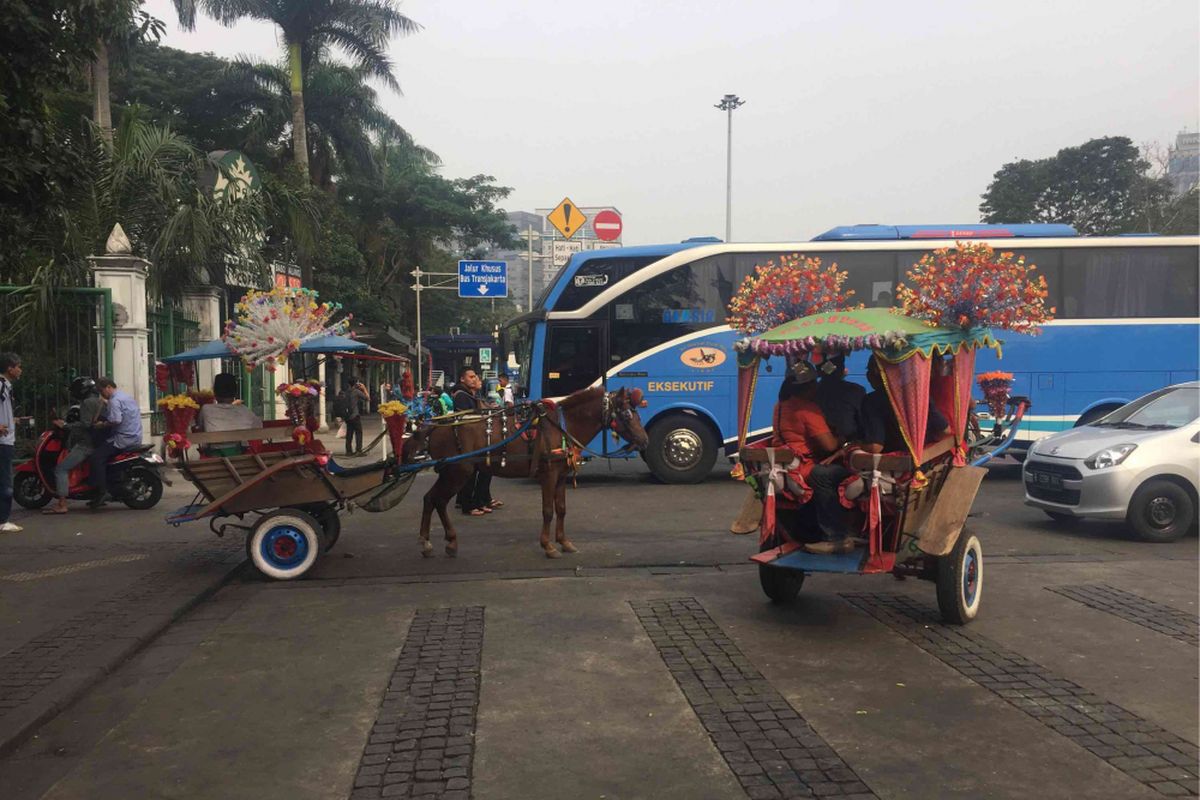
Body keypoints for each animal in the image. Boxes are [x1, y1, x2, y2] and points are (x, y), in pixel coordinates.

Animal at [403, 383, 648, 561]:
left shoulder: (560, 476)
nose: (645, 440)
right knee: (436, 500)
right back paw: (433, 541)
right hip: (457, 472)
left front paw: (564, 542)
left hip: (452, 473)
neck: (562, 426)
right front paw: (548, 546)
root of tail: (434, 426)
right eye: (627, 415)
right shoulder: (548, 474)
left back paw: (442, 542)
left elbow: (562, 509)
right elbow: (548, 511)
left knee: (432, 500)